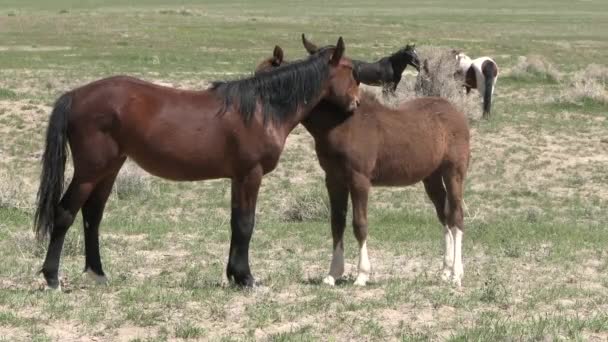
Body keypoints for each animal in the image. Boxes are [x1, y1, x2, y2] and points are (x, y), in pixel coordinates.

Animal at [34, 36, 360, 288]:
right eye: (350, 70)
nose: (356, 103)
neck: (262, 109)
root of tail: (75, 95)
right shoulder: (250, 174)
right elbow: (246, 223)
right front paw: (247, 279)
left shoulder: (237, 178)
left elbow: (236, 222)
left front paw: (234, 275)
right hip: (89, 172)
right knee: (64, 213)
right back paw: (52, 278)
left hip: (109, 169)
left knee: (92, 215)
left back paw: (98, 274)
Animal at [256, 41, 470, 288]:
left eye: (271, 83)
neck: (342, 124)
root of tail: (456, 113)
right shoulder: (334, 180)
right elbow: (336, 223)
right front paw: (333, 273)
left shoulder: (359, 180)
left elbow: (359, 224)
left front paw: (362, 274)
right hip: (431, 177)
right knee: (444, 214)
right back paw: (445, 270)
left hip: (453, 172)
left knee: (456, 216)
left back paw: (457, 273)